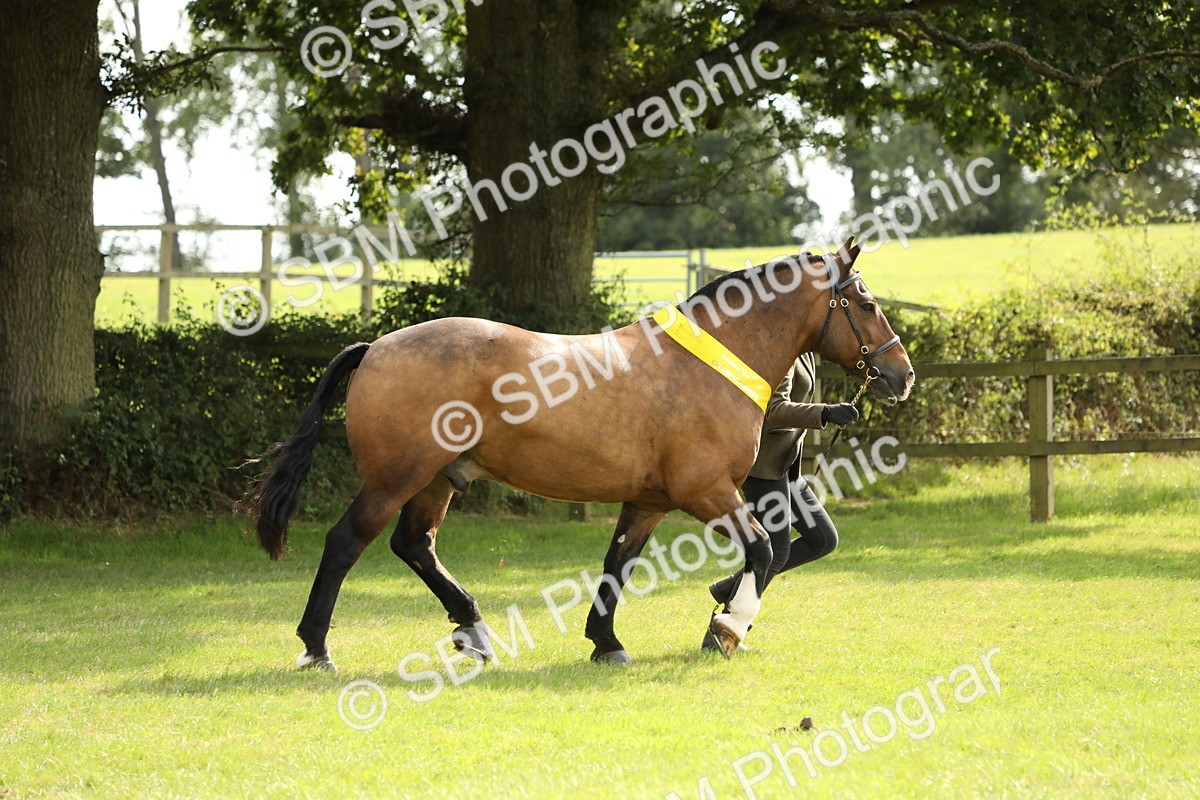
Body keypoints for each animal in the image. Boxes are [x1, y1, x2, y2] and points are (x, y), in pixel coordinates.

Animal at [247, 238, 914, 669]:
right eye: (868, 304)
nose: (901, 375)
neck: (709, 363)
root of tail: (377, 347)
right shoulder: (707, 493)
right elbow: (765, 549)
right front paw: (725, 628)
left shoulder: (647, 503)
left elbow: (617, 566)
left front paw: (606, 642)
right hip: (394, 479)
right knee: (345, 544)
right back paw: (316, 647)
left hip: (438, 479)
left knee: (414, 546)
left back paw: (474, 629)